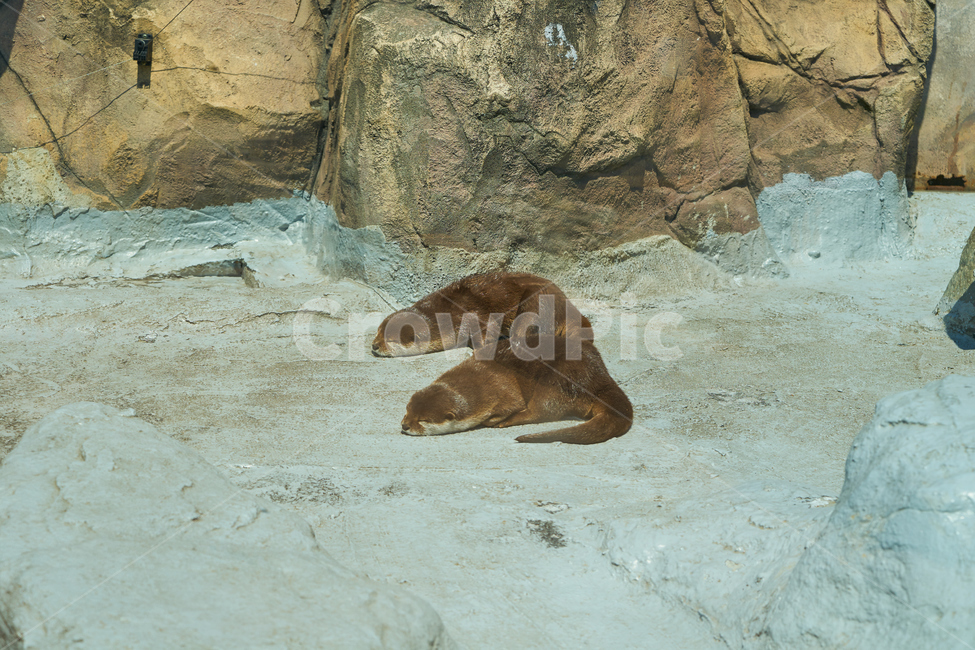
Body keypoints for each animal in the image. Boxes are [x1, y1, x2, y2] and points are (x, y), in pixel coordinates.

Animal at [371, 272, 592, 357]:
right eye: (377, 332)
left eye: (390, 340)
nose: (374, 346)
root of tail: (567, 304)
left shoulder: (473, 315)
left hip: (537, 300)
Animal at [400, 335, 632, 445]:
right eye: (407, 411)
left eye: (423, 420)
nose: (405, 426)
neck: (480, 374)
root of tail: (600, 377)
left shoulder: (504, 391)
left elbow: (512, 404)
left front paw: (494, 419)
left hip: (559, 379)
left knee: (543, 410)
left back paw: (505, 423)